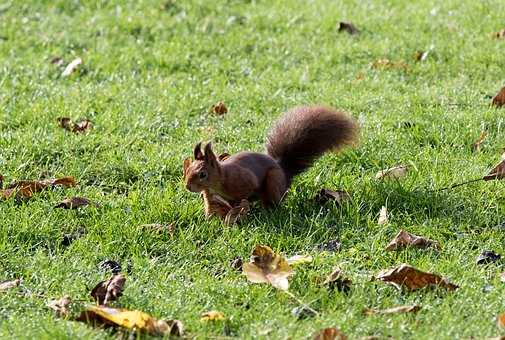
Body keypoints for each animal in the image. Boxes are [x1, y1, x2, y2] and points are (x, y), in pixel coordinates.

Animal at [183, 105, 356, 216]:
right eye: (187, 170)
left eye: (203, 174)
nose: (188, 187)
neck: (220, 179)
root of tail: (284, 172)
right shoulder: (209, 195)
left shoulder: (243, 180)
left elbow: (244, 195)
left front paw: (237, 208)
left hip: (274, 180)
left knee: (274, 200)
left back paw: (268, 211)